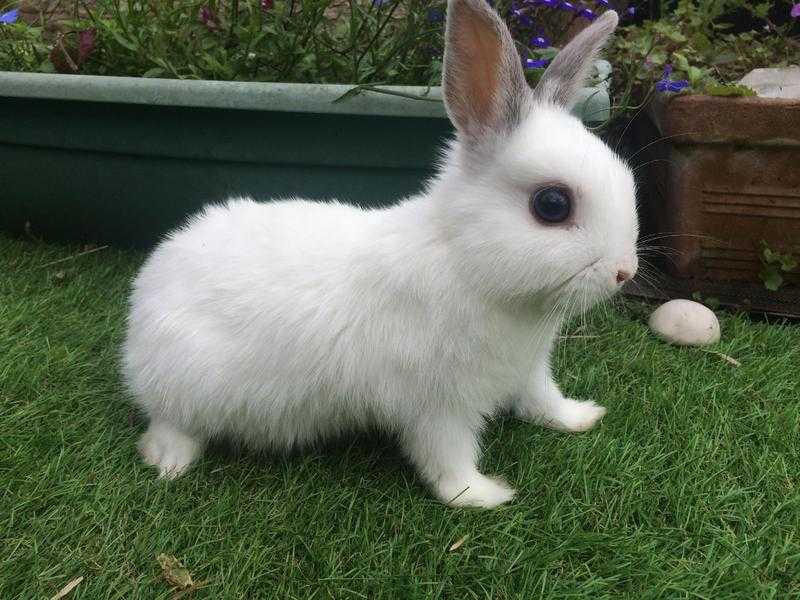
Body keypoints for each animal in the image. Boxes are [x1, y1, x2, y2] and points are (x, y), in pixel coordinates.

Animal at [123, 0, 636, 508]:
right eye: (551, 205)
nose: (624, 272)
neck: (466, 263)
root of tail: (141, 308)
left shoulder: (529, 370)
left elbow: (542, 400)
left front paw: (581, 416)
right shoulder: (438, 405)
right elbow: (446, 456)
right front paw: (482, 494)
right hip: (187, 388)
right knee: (167, 426)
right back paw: (169, 462)